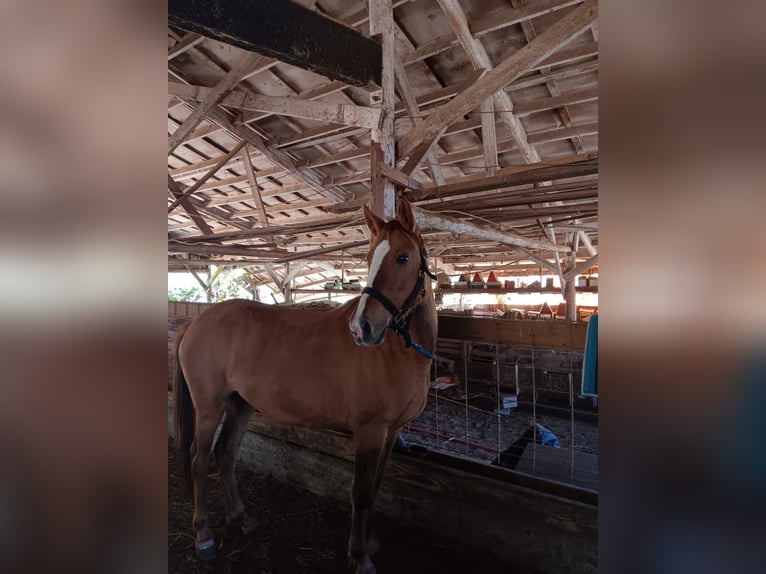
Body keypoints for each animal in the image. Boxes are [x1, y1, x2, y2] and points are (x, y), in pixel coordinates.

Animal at [172, 198, 437, 574]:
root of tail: (195, 322)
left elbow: (376, 488)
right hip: (209, 407)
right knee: (199, 460)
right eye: (370, 257)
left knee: (226, 454)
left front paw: (369, 543)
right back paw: (204, 537)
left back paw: (241, 519)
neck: (397, 350)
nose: (362, 328)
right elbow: (361, 493)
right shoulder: (369, 431)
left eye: (403, 257)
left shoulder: (392, 431)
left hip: (240, 405)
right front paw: (359, 555)